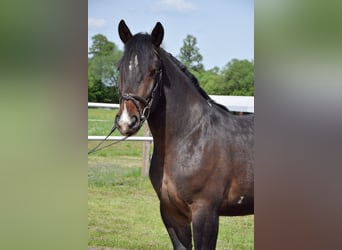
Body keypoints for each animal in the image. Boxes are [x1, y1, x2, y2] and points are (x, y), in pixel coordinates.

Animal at [115, 20, 254, 250]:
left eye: (155, 70)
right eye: (120, 68)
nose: (127, 122)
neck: (191, 139)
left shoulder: (205, 214)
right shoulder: (172, 214)